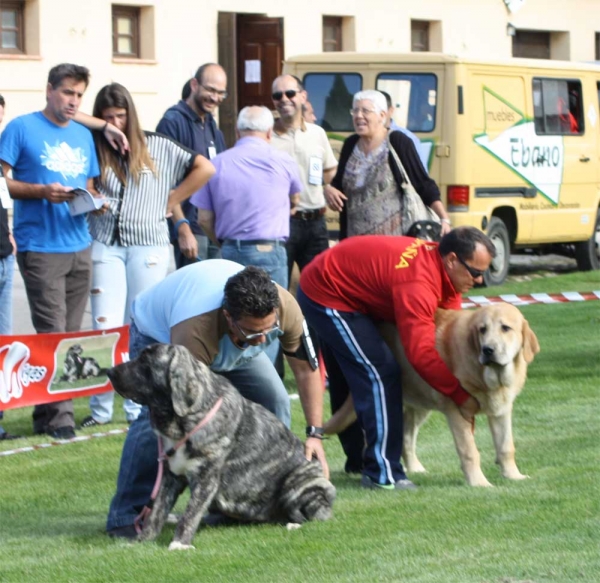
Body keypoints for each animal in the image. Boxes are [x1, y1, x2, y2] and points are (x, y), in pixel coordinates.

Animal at [106, 346, 336, 552]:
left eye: (146, 361)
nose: (109, 371)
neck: (186, 418)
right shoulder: (170, 477)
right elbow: (156, 513)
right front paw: (142, 541)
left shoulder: (206, 479)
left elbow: (191, 513)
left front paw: (180, 543)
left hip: (301, 484)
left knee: (317, 515)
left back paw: (295, 524)